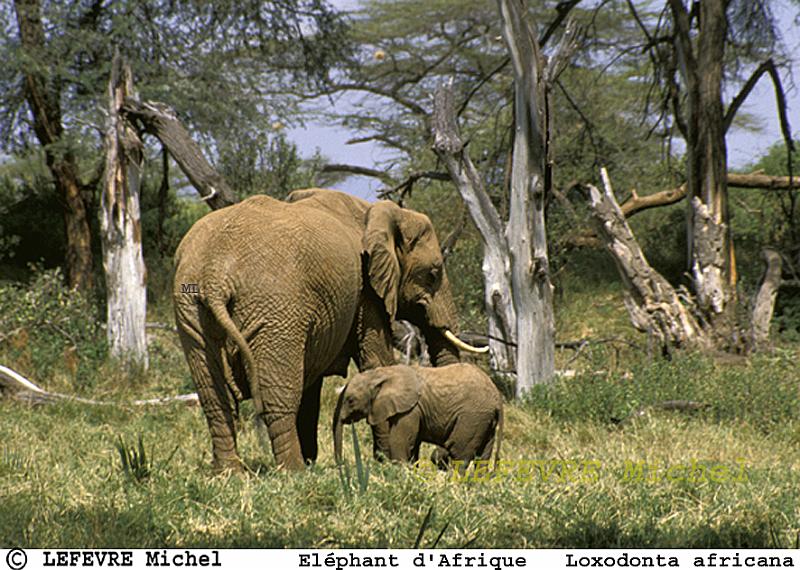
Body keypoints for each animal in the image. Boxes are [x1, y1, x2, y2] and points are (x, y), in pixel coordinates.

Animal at [173, 189, 484, 468]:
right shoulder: (366, 293)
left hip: (191, 309)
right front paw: (386, 464)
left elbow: (312, 384)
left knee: (216, 400)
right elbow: (376, 361)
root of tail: (216, 272)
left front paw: (317, 461)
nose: (438, 460)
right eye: (433, 274)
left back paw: (230, 473)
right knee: (279, 396)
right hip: (275, 309)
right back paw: (293, 471)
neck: (377, 212)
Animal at [334, 364, 504, 470]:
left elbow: (399, 442)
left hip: (473, 417)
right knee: (482, 457)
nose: (342, 464)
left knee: (459, 453)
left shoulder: (411, 410)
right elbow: (413, 444)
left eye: (350, 400)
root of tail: (498, 398)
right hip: (485, 420)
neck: (383, 373)